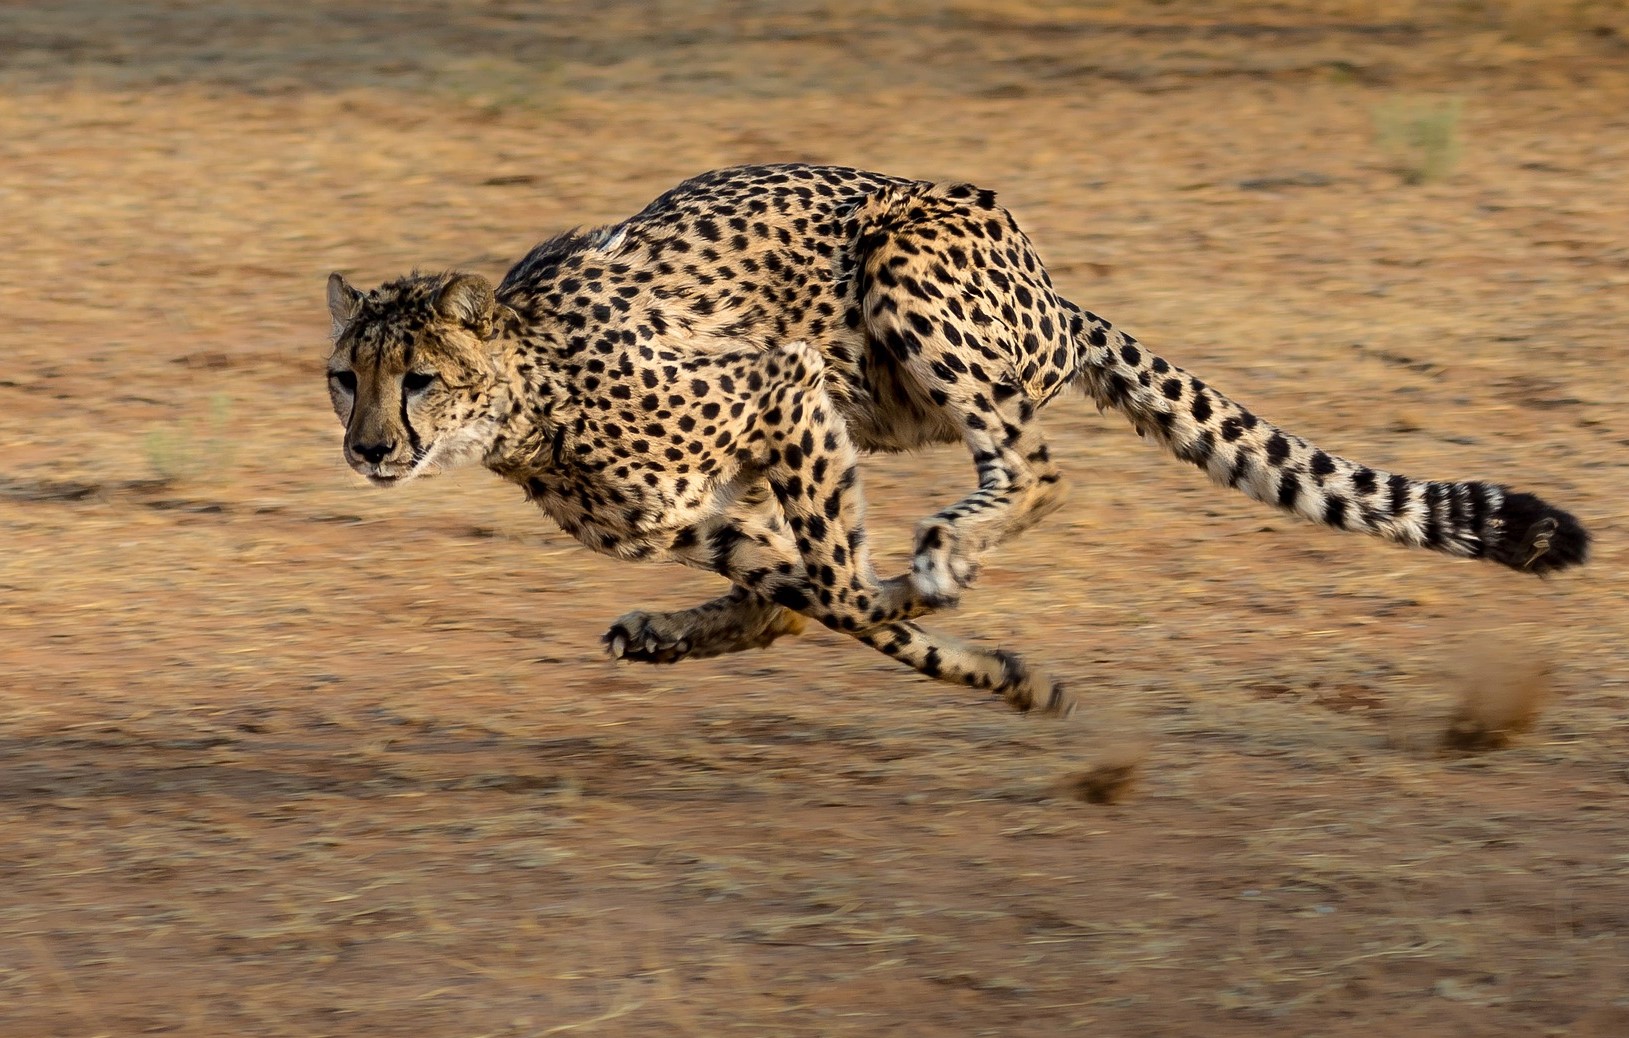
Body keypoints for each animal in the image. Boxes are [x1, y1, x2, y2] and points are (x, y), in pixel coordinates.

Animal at [324, 163, 1583, 713]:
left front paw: (969, 639)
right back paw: (690, 629)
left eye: (419, 379)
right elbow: (810, 597)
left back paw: (945, 553)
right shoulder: (703, 512)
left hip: (904, 278)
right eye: (346, 379)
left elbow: (839, 590)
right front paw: (992, 667)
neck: (527, 400)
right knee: (809, 587)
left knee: (1035, 466)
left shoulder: (782, 385)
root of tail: (1049, 284)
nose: (369, 450)